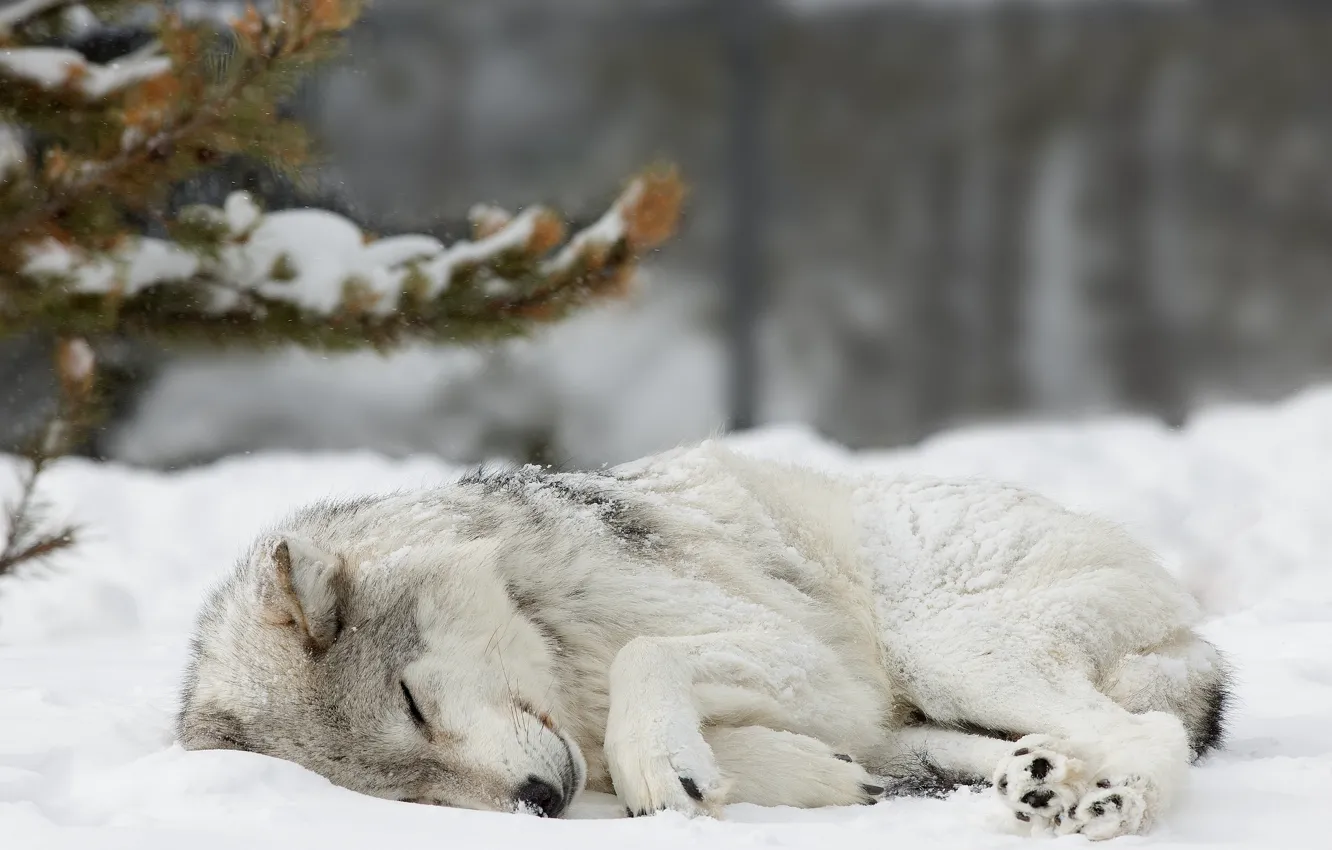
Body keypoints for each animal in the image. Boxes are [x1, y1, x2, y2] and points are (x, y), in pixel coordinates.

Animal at [177, 440, 1229, 840]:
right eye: (407, 794)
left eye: (412, 702)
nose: (539, 802)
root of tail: (1185, 616)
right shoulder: (848, 710)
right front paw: (796, 775)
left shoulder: (812, 666)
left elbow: (646, 666)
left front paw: (661, 762)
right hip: (941, 705)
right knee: (1011, 749)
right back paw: (1037, 781)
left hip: (950, 647)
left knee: (1151, 735)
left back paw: (1111, 805)